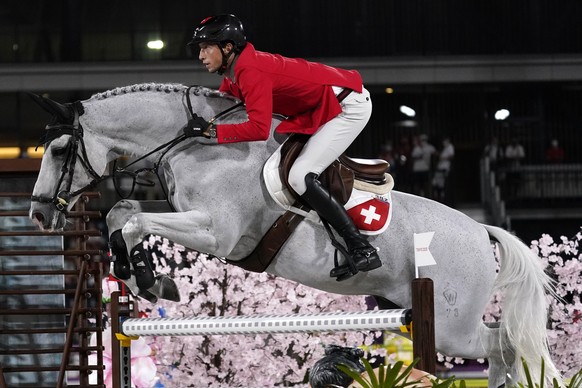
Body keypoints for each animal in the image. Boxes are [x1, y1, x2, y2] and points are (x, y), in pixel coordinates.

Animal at [29, 83, 564, 386]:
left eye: (58, 150)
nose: (37, 215)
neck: (195, 143)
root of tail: (482, 231)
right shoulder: (182, 212)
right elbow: (121, 212)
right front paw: (144, 278)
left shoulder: (217, 234)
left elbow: (134, 220)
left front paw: (147, 278)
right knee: (505, 348)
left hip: (452, 327)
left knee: (504, 346)